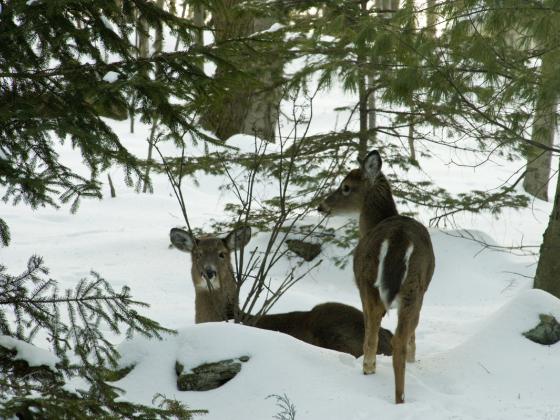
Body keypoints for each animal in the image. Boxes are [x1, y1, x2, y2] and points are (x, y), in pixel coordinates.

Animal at [320, 150, 434, 404]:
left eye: (346, 186)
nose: (321, 206)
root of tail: (399, 238)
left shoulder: (361, 286)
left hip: (369, 280)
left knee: (373, 333)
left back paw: (369, 371)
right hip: (415, 286)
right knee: (401, 338)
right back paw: (400, 398)